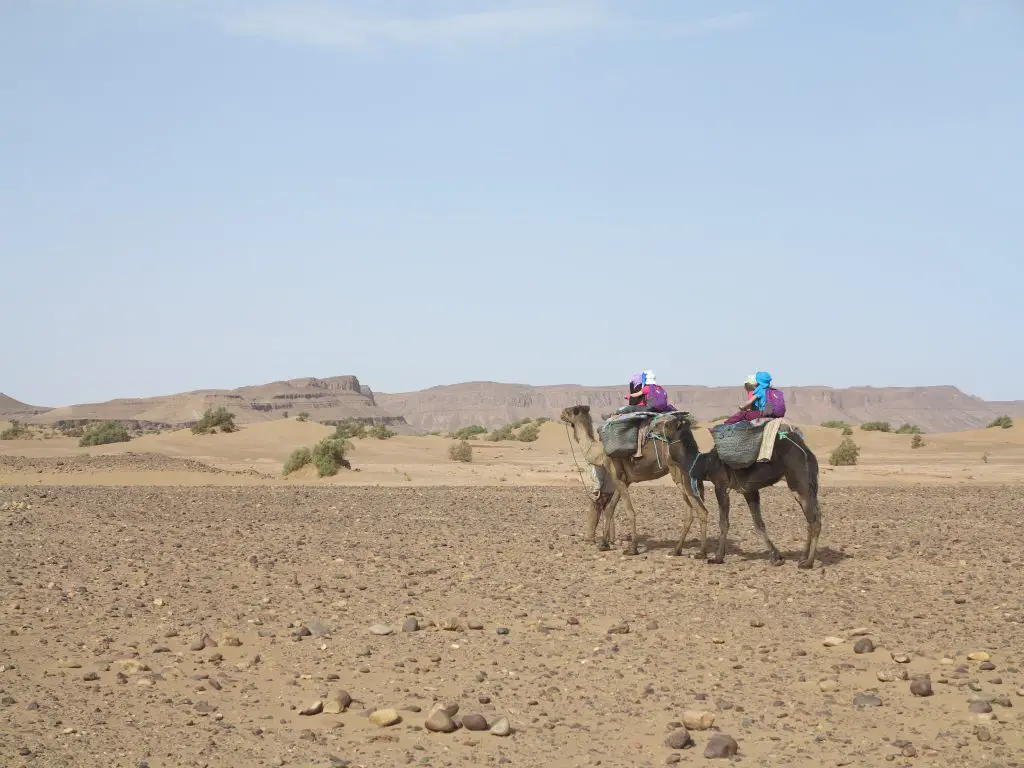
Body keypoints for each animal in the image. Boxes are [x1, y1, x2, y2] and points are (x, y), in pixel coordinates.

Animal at [561, 403, 712, 561]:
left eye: (570, 411)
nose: (561, 414)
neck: (600, 453)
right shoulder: (623, 480)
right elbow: (610, 509)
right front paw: (604, 544)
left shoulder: (617, 477)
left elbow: (629, 511)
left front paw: (632, 548)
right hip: (679, 475)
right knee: (689, 513)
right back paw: (676, 550)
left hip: (679, 472)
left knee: (701, 510)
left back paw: (702, 552)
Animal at [655, 417, 823, 569]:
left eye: (667, 424)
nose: (654, 427)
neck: (705, 464)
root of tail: (806, 451)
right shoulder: (749, 491)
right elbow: (759, 524)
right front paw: (776, 557)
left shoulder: (721, 486)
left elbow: (724, 522)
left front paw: (717, 558)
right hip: (808, 485)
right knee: (812, 518)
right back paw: (802, 557)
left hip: (799, 481)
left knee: (814, 520)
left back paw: (808, 563)